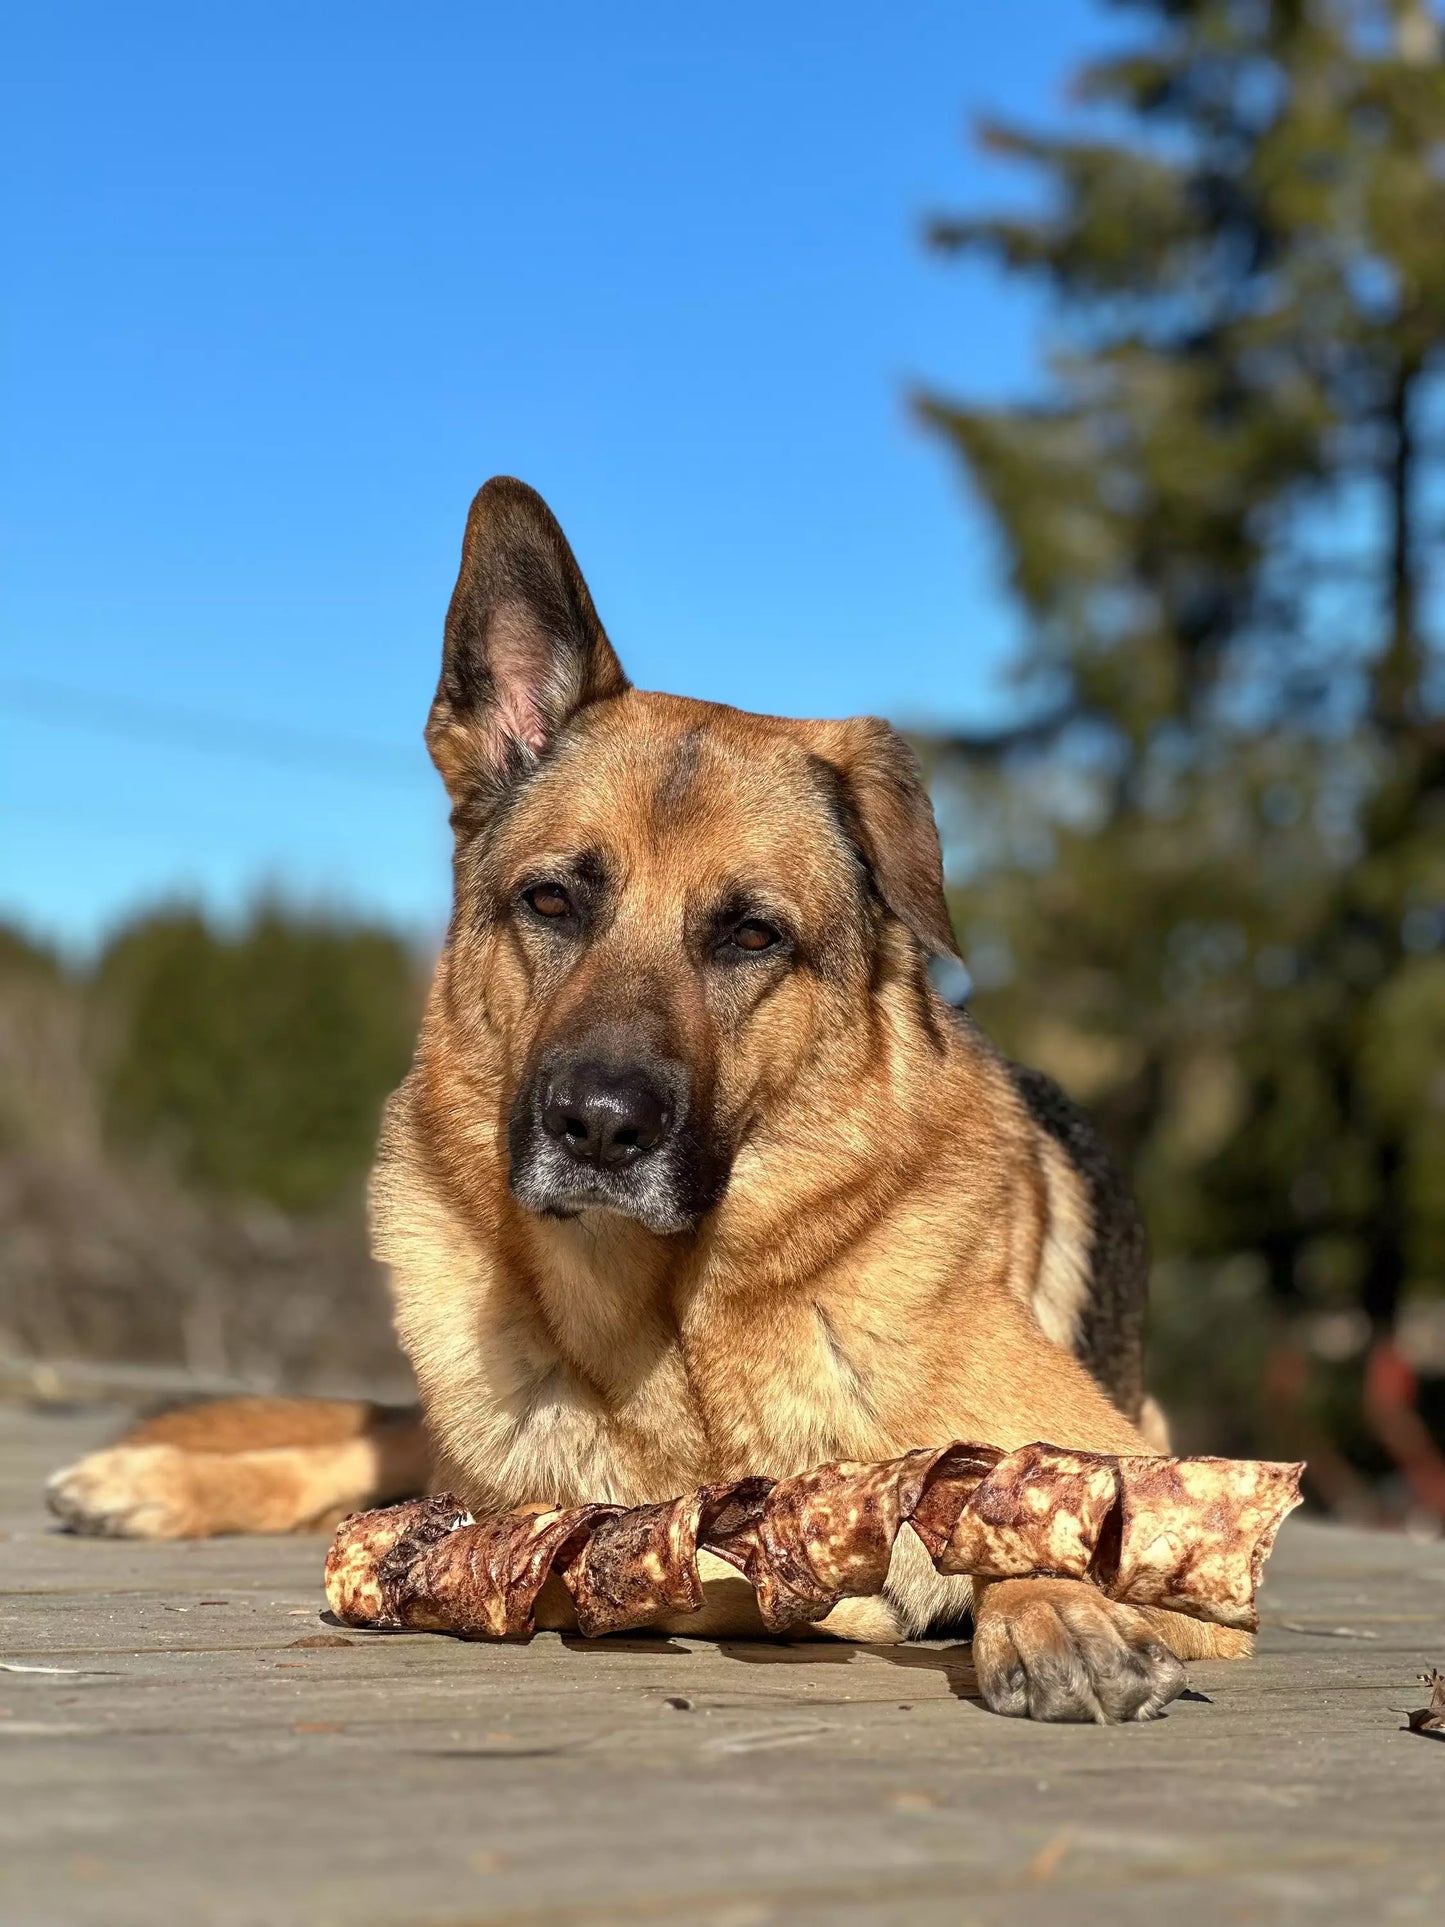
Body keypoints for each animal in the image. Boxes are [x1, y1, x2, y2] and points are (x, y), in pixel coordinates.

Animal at [51, 477, 1248, 1718]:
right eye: (550, 901)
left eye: (751, 934)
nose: (596, 1126)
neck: (671, 1330)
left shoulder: (1155, 1482)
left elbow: (1024, 1499)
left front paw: (1052, 1606)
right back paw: (141, 1477)